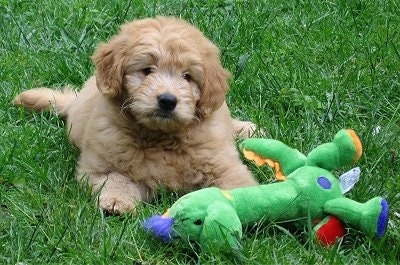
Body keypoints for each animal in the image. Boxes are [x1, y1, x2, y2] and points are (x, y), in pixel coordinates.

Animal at [12, 16, 258, 212]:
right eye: (147, 70)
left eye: (187, 76)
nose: (167, 101)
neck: (161, 138)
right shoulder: (100, 165)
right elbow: (116, 179)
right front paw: (115, 201)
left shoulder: (223, 164)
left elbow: (237, 183)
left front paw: (248, 203)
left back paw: (246, 129)